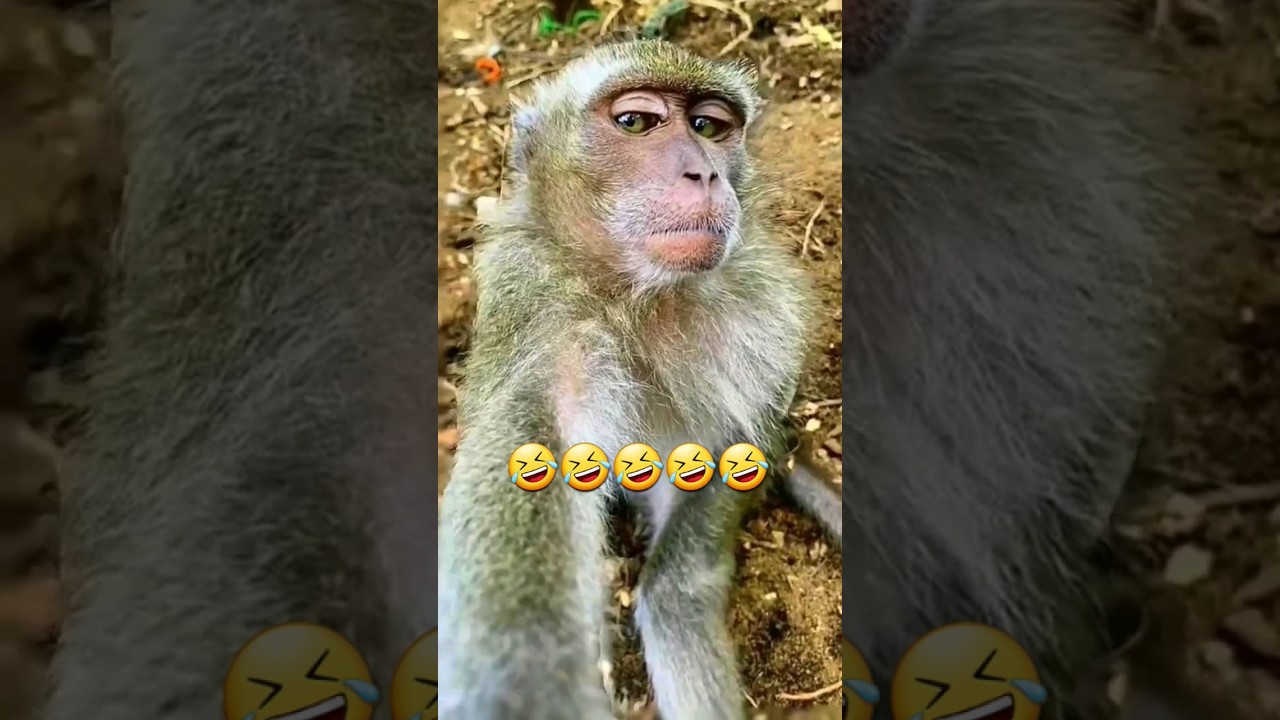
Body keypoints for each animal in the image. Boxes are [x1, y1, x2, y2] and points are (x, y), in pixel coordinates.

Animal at [437, 40, 840, 720]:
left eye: (708, 126)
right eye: (636, 122)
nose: (702, 172)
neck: (631, 295)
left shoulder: (760, 308)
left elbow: (739, 439)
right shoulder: (538, 313)